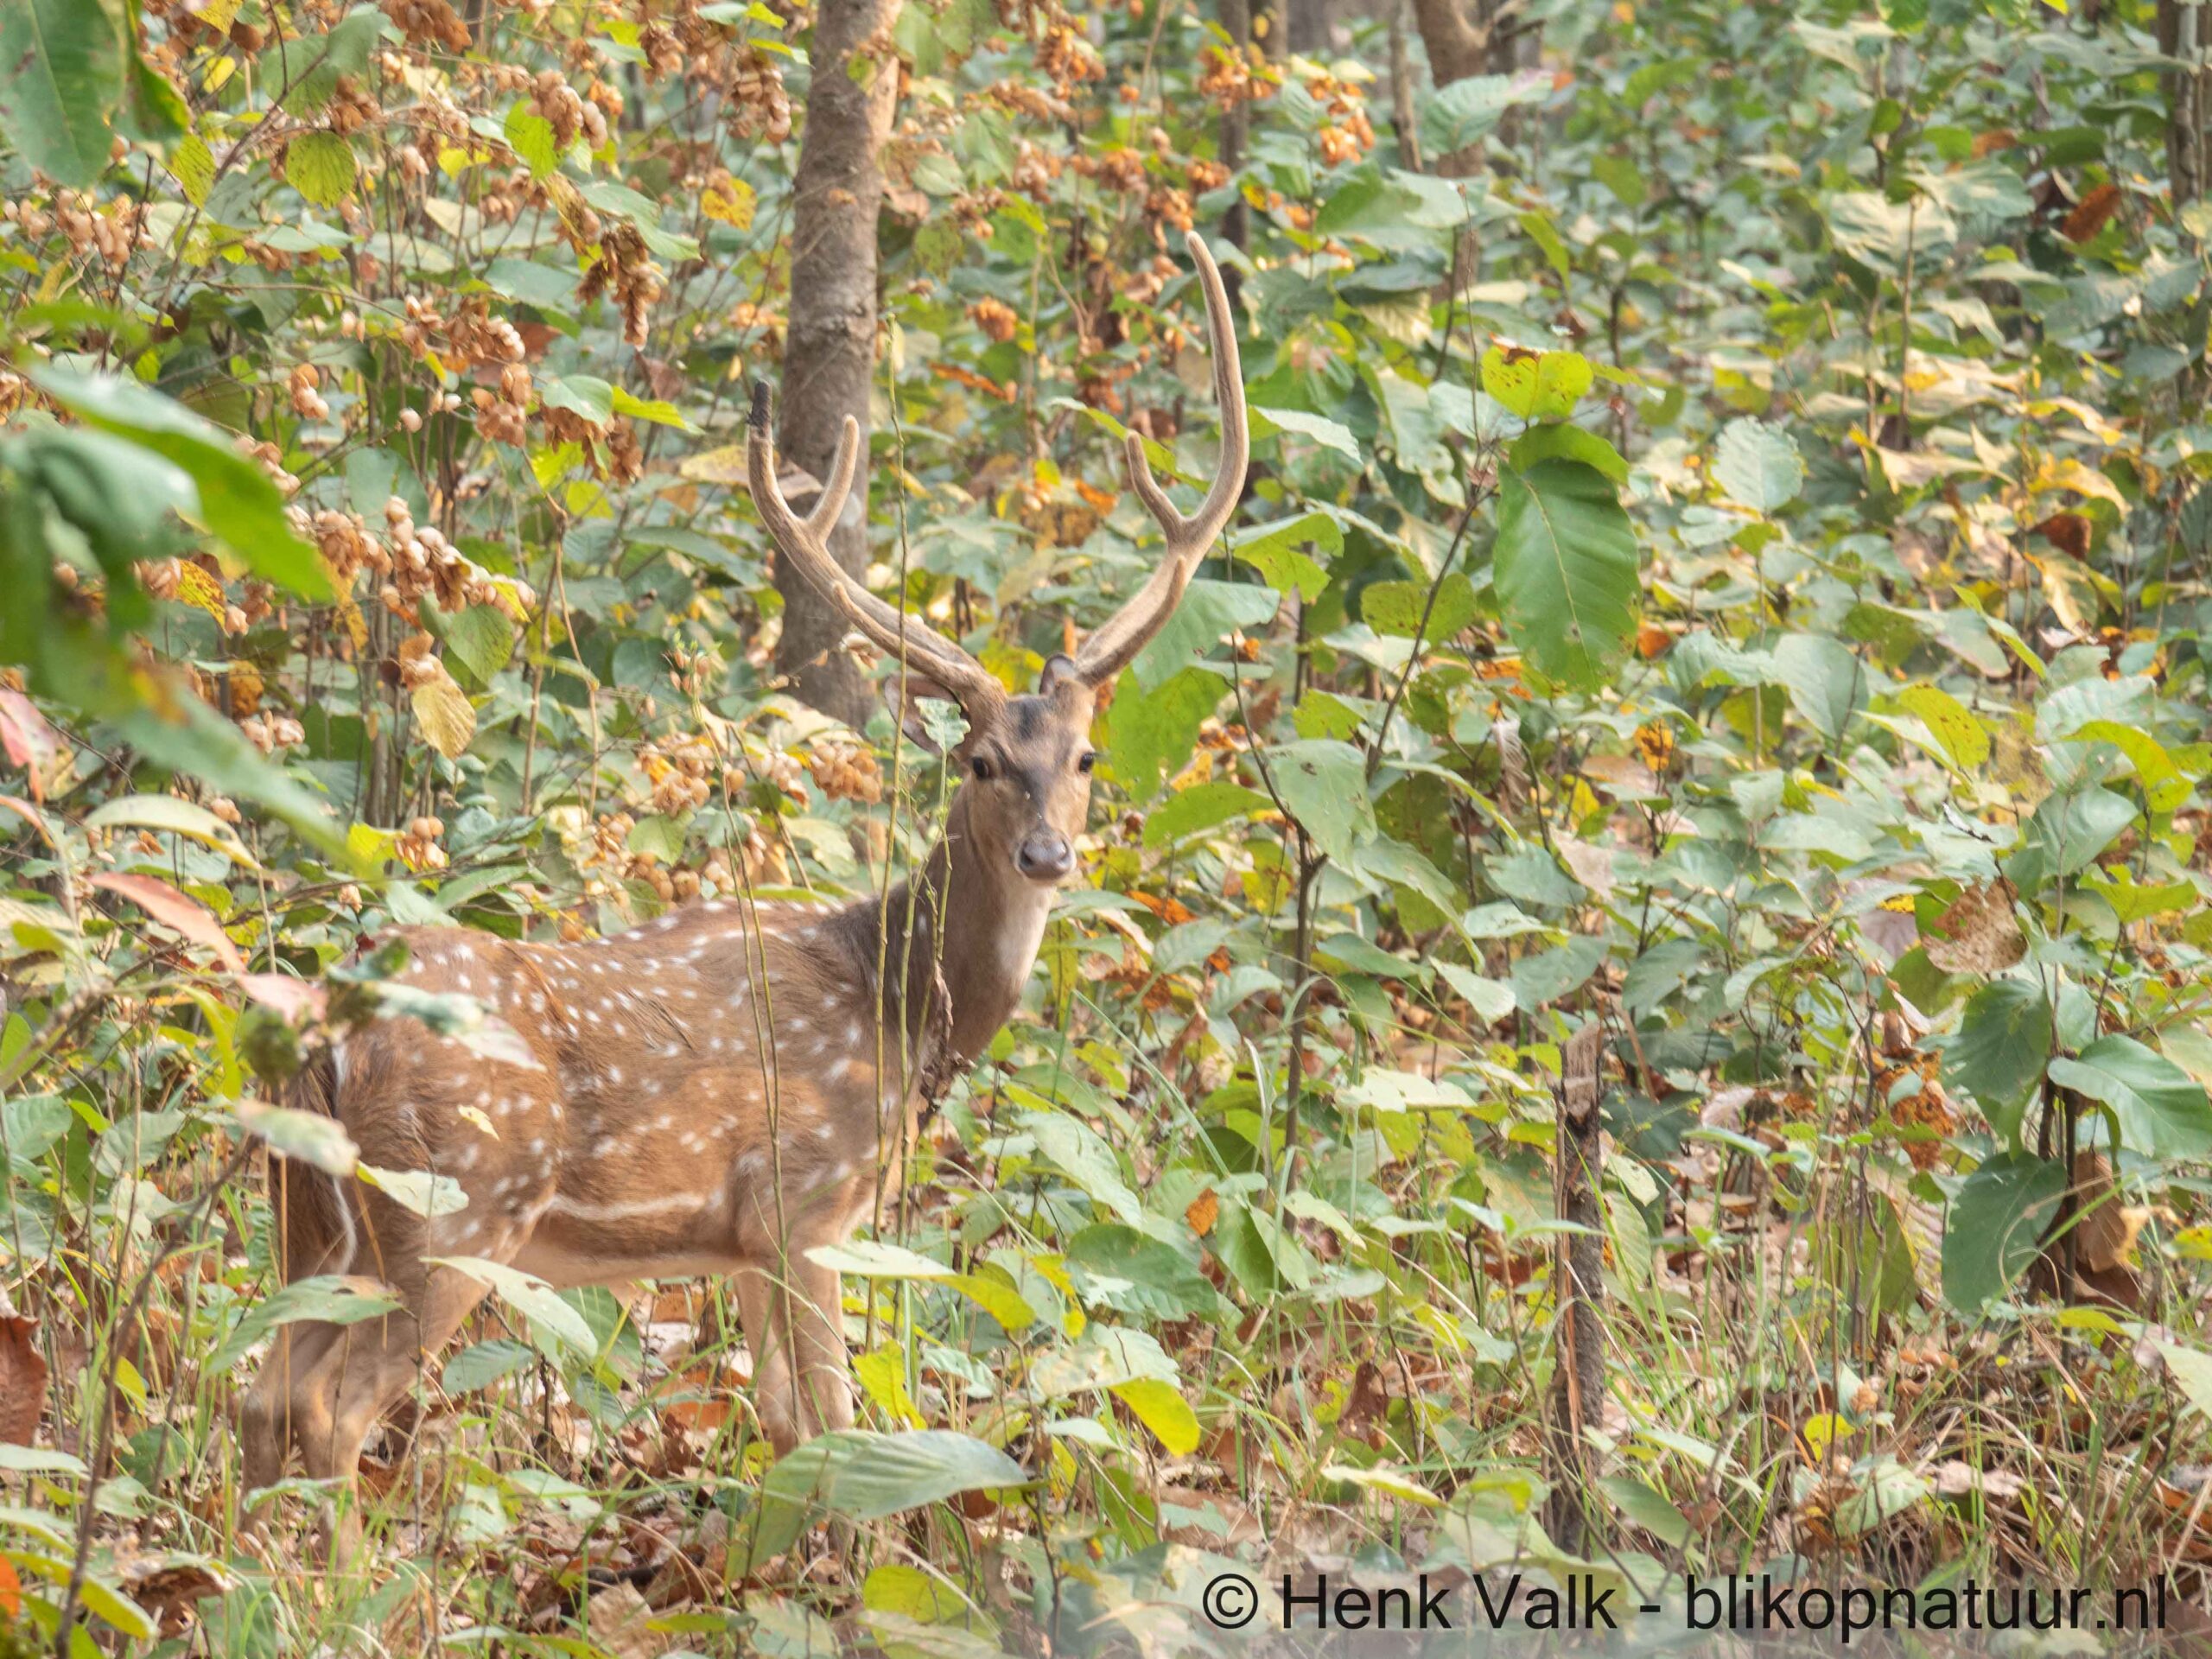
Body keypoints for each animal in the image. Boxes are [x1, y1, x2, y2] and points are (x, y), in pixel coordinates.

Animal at [238, 231, 1247, 1557]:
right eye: (981, 760)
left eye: (1082, 759)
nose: (1047, 857)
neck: (895, 1000)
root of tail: (327, 1028)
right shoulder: (800, 1201)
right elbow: (835, 1421)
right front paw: (862, 1567)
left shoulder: (737, 1241)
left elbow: (779, 1422)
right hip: (451, 1204)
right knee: (330, 1407)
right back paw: (346, 1583)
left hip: (308, 1212)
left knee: (256, 1388)